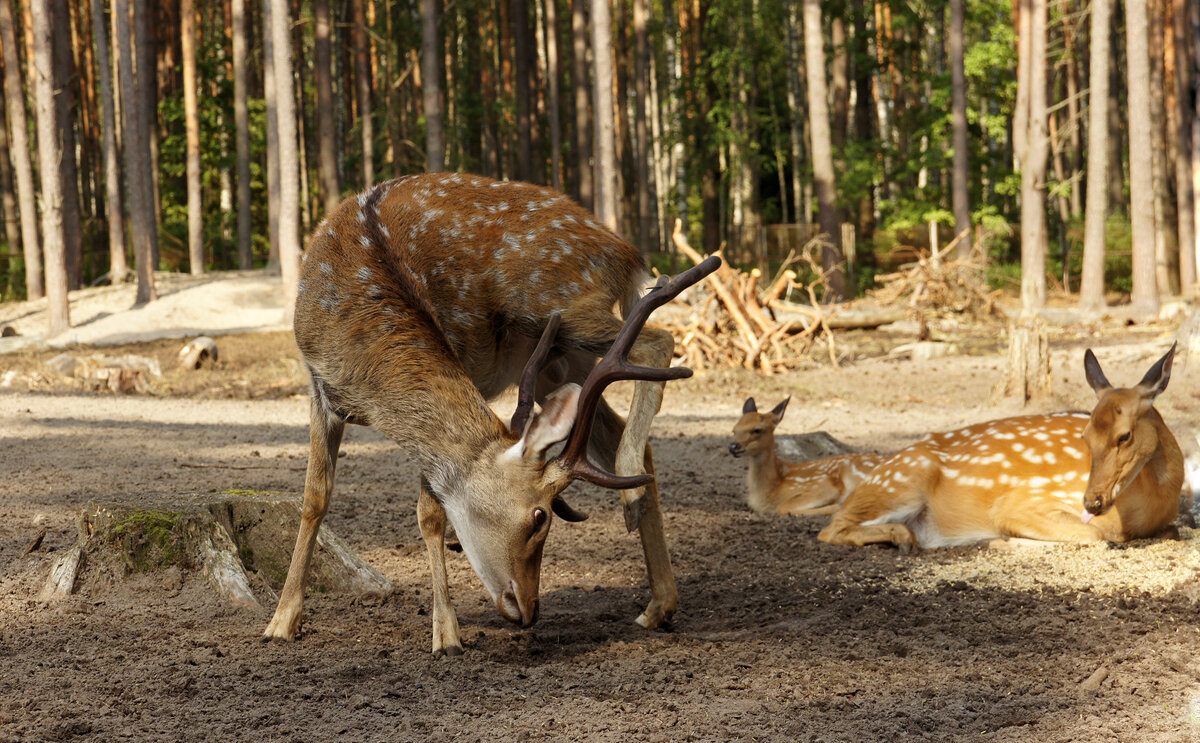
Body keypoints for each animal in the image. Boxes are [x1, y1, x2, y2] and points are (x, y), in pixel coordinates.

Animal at [267, 171, 715, 652]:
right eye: (540, 517)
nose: (529, 608)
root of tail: (629, 254)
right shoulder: (318, 386)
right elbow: (315, 497)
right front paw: (282, 620)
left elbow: (430, 511)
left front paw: (446, 633)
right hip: (555, 357)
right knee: (620, 428)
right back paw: (657, 601)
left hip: (561, 303)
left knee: (659, 339)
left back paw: (632, 494)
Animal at [724, 396, 888, 518]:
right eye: (734, 430)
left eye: (757, 430)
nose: (733, 446)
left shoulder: (821, 484)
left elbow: (782, 507)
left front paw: (834, 507)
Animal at [820, 343, 1185, 552]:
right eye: (1085, 436)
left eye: (1124, 436)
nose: (1092, 502)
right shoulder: (1022, 501)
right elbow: (1096, 537)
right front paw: (1001, 541)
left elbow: (1174, 531)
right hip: (904, 478)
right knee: (831, 527)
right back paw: (903, 537)